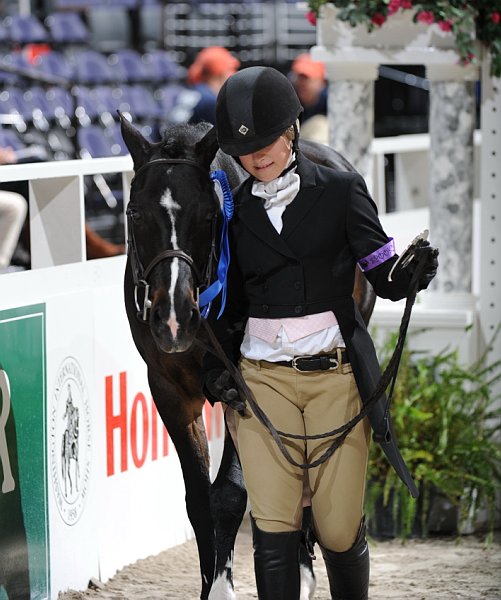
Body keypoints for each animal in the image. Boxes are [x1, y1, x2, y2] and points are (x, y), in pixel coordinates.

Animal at [119, 113, 374, 600]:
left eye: (209, 215)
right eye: (134, 213)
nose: (173, 319)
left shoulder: (246, 387)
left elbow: (230, 495)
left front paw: (225, 587)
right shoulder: (169, 391)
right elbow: (198, 502)